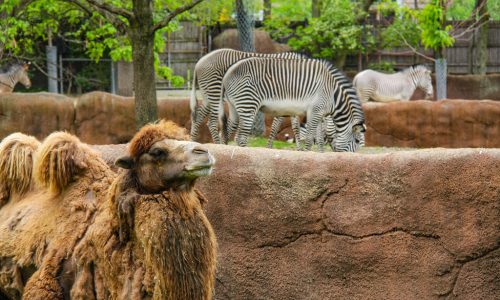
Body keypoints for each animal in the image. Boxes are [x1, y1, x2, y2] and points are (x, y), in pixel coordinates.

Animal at [221, 57, 366, 152]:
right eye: (357, 141)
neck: (333, 96)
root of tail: (228, 72)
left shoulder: (320, 114)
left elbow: (319, 137)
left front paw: (320, 154)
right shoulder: (315, 111)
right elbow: (309, 137)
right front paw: (307, 154)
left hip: (234, 107)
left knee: (227, 132)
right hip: (248, 105)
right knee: (241, 137)